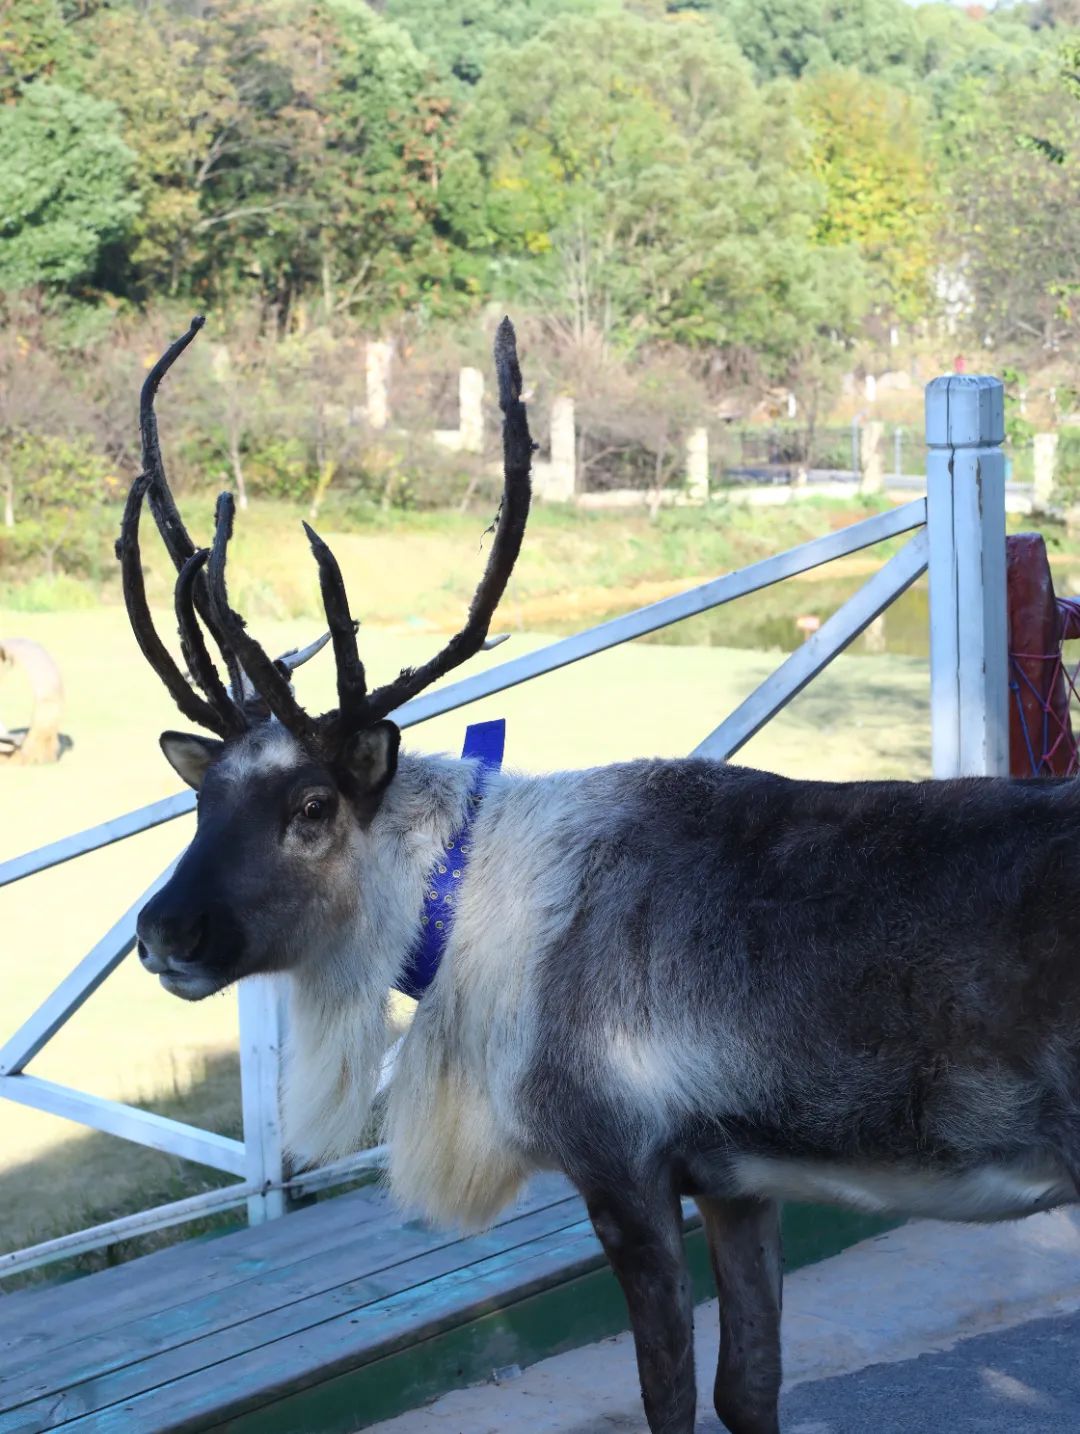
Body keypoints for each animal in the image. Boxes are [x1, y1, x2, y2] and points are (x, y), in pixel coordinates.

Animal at [123, 317, 1080, 1434]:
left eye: (312, 807)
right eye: (204, 801)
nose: (162, 934)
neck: (474, 909)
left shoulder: (620, 1168)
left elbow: (670, 1396)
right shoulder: (735, 1178)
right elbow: (747, 1388)